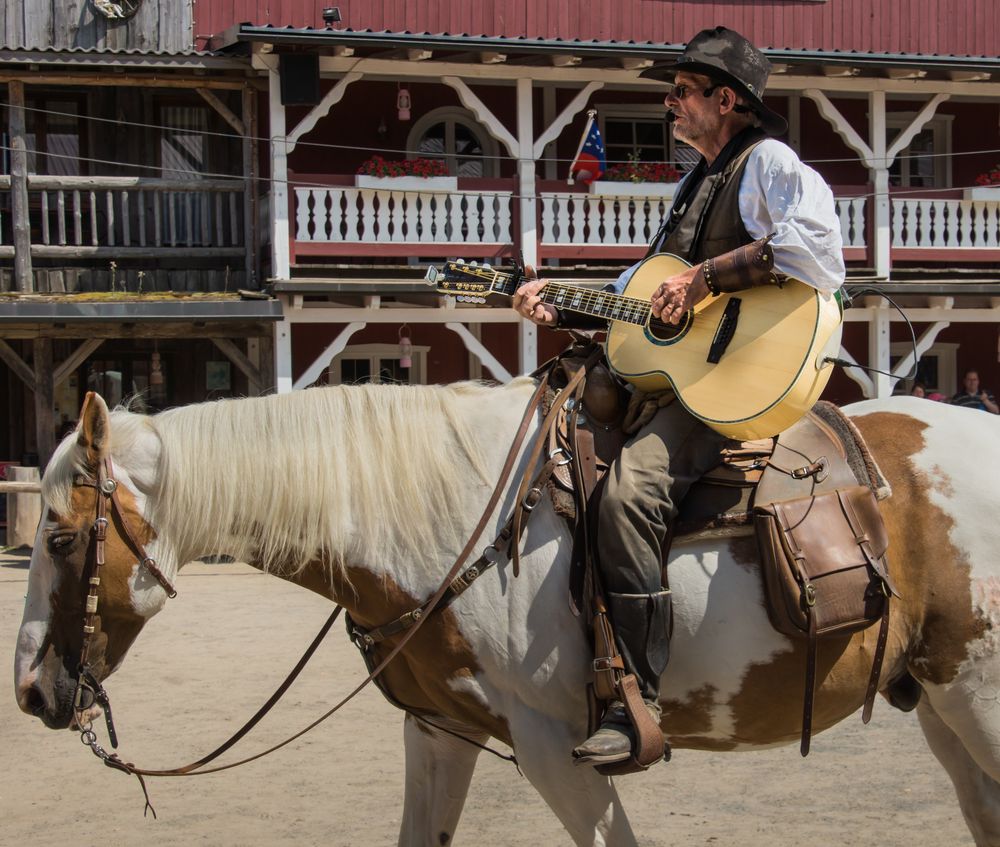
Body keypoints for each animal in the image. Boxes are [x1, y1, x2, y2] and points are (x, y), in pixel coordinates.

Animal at [15, 386, 1000, 847]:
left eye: (60, 537)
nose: (28, 690)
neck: (440, 523)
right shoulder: (438, 728)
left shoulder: (553, 743)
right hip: (942, 703)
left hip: (979, 698)